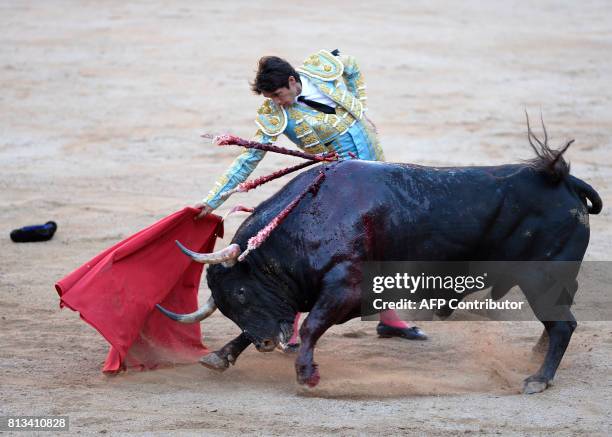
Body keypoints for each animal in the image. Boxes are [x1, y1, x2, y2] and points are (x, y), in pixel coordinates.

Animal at [155, 124, 600, 394]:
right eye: (228, 305)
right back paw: (536, 358)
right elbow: (276, 324)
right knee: (558, 321)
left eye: (243, 294)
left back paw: (538, 378)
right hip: (554, 280)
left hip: (541, 277)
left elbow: (312, 325)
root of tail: (563, 180)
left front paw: (307, 374)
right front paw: (220, 355)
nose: (267, 345)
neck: (309, 218)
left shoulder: (348, 290)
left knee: (563, 324)